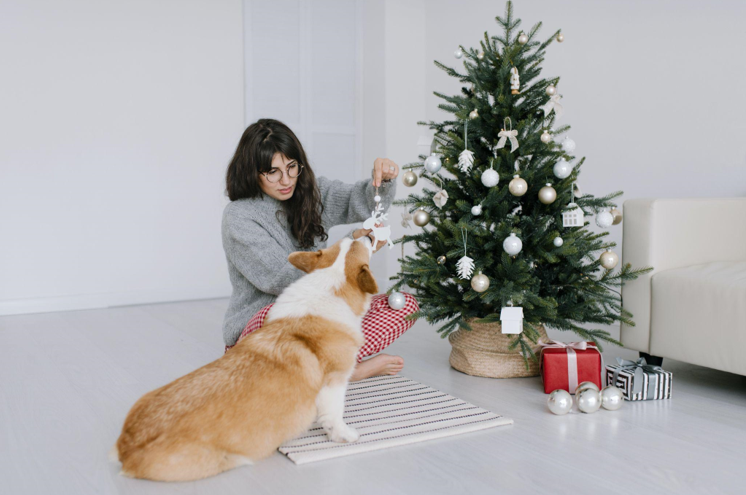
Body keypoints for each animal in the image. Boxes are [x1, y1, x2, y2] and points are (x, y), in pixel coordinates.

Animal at [110, 238, 374, 482]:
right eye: (358, 244)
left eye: (344, 242)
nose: (368, 235)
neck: (328, 283)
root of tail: (127, 450)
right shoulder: (335, 381)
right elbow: (335, 416)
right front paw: (346, 436)